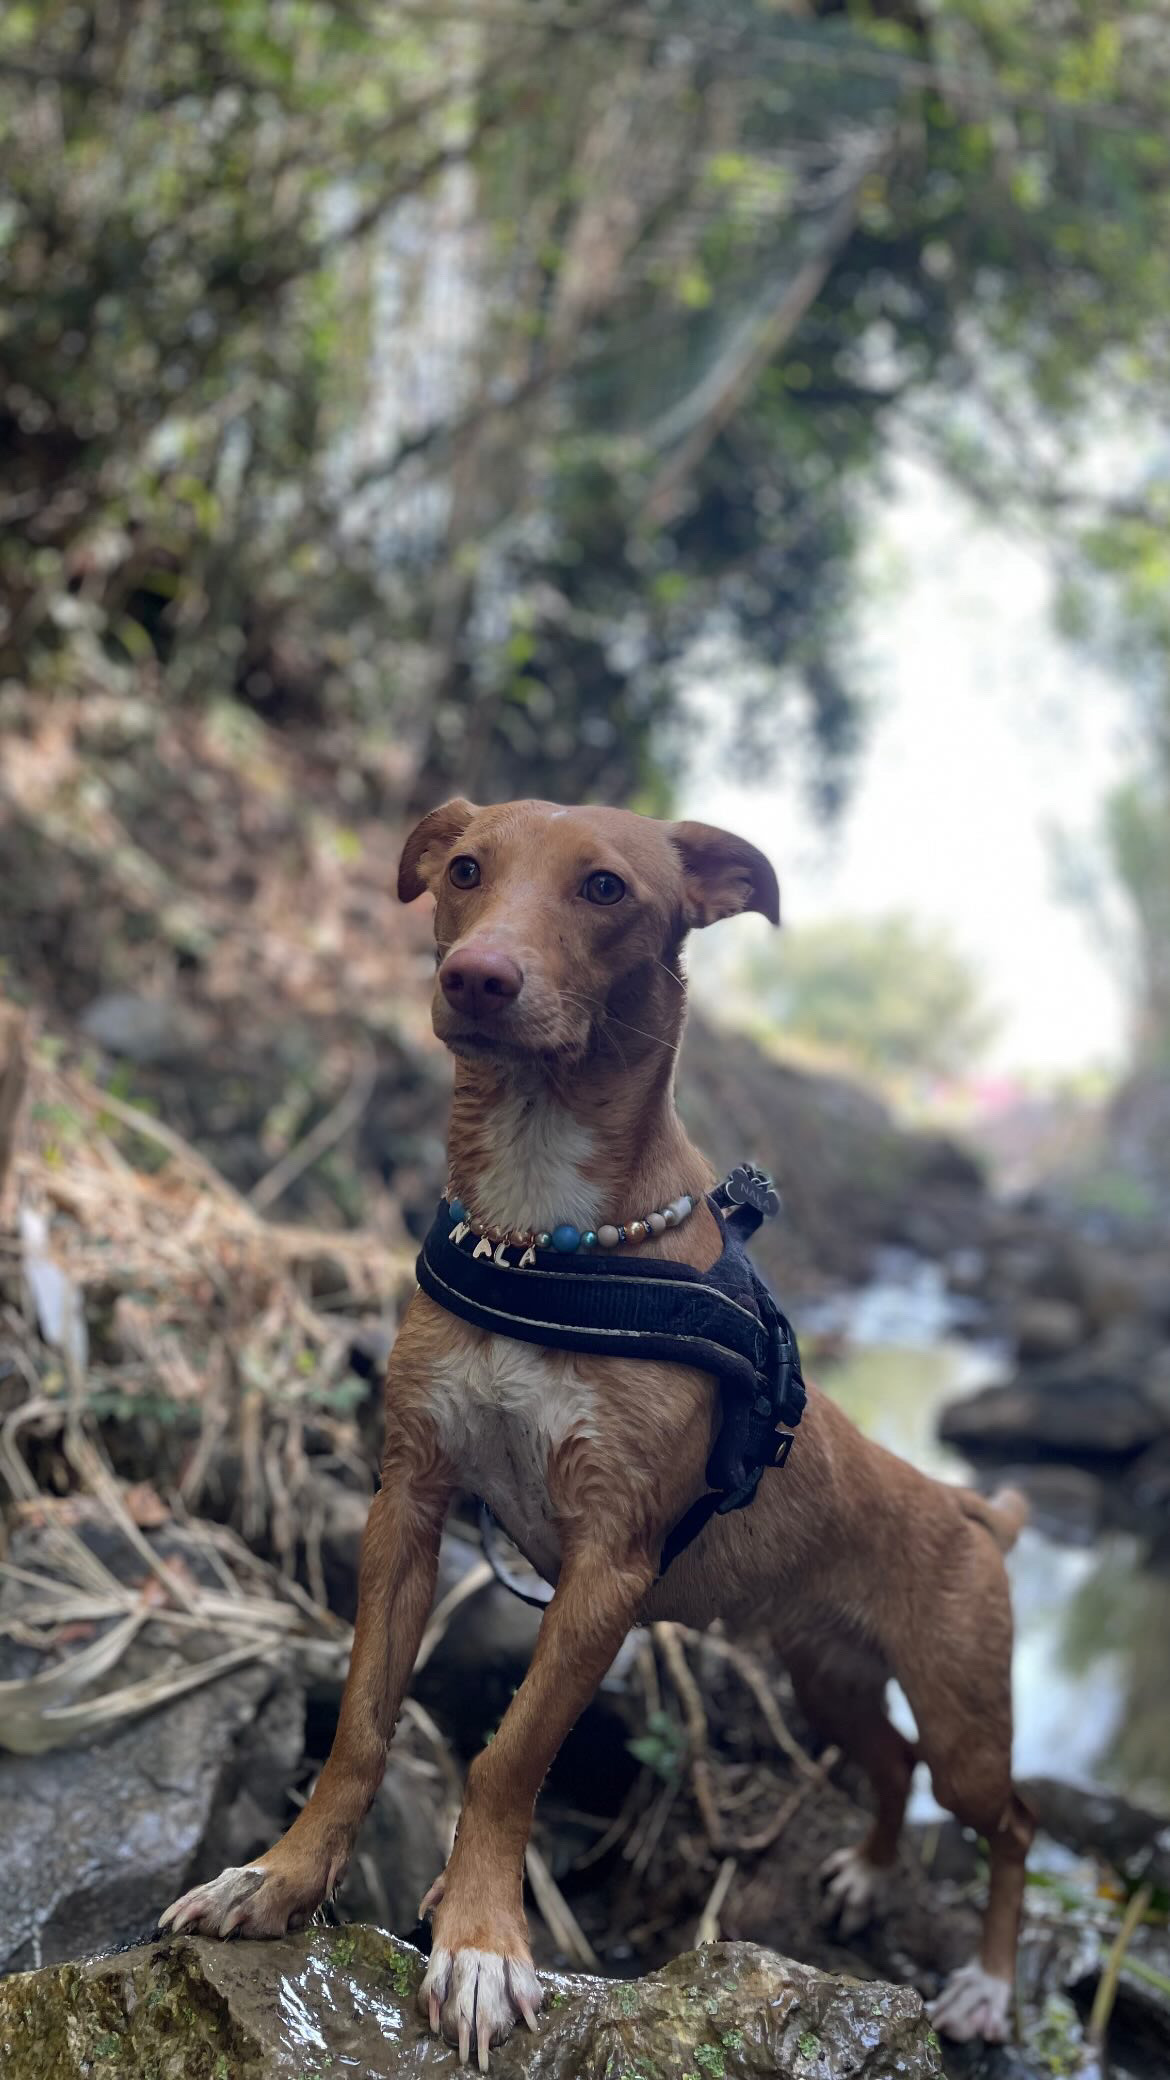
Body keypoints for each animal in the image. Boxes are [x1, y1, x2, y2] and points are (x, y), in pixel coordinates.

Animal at [163, 797, 1033, 2064]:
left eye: (606, 888)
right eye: (464, 870)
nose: (477, 976)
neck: (541, 1229)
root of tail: (970, 1506)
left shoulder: (608, 1567)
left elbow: (513, 1752)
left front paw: (480, 1942)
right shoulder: (408, 1501)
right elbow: (363, 1723)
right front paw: (283, 1876)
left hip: (965, 1705)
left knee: (1005, 1818)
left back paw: (987, 1984)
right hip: (825, 1672)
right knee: (893, 1761)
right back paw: (873, 1872)